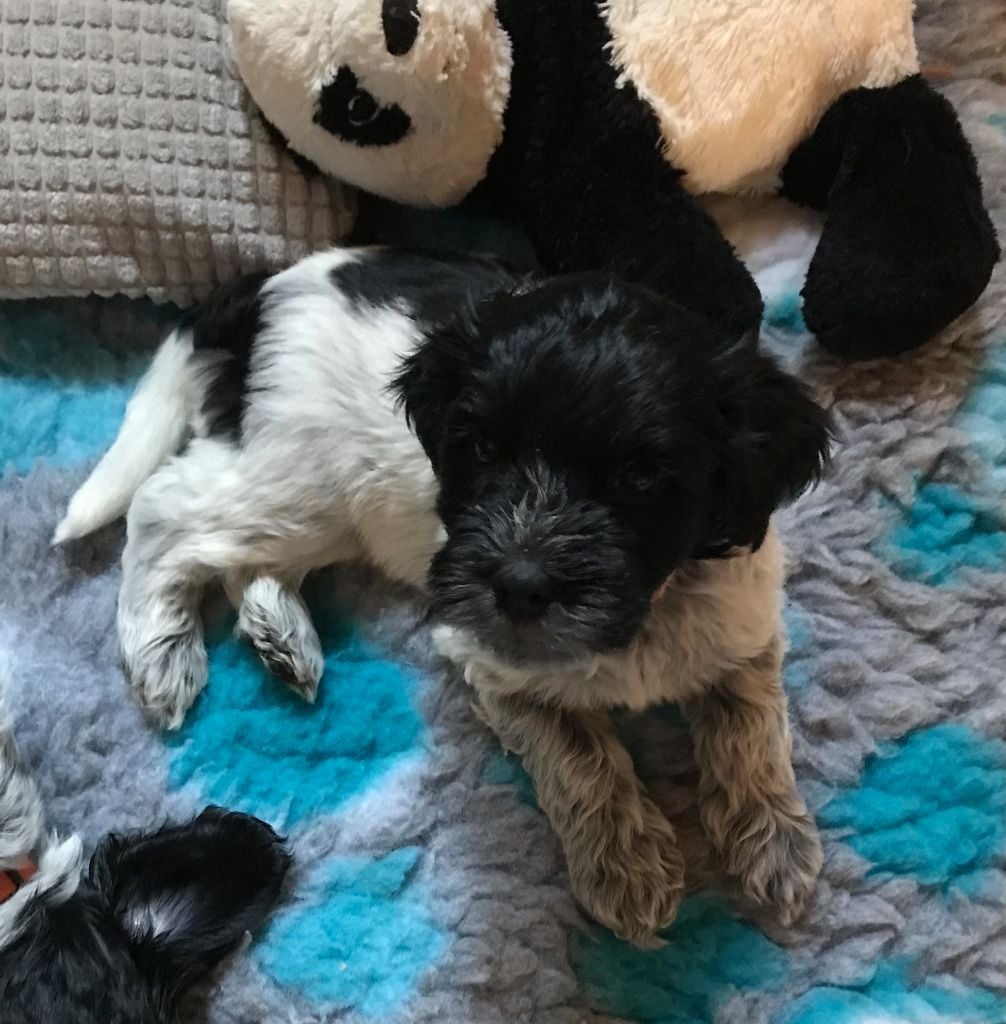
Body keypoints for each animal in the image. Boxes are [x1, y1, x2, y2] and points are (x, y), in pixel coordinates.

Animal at [56, 246, 831, 943]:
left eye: (639, 479)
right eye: (482, 449)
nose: (521, 584)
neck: (646, 609)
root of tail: (265, 288)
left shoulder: (742, 623)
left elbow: (751, 726)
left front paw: (775, 843)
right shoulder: (496, 659)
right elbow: (581, 757)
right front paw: (626, 867)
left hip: (323, 514)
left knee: (237, 554)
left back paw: (282, 632)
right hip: (299, 485)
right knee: (165, 507)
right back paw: (161, 651)